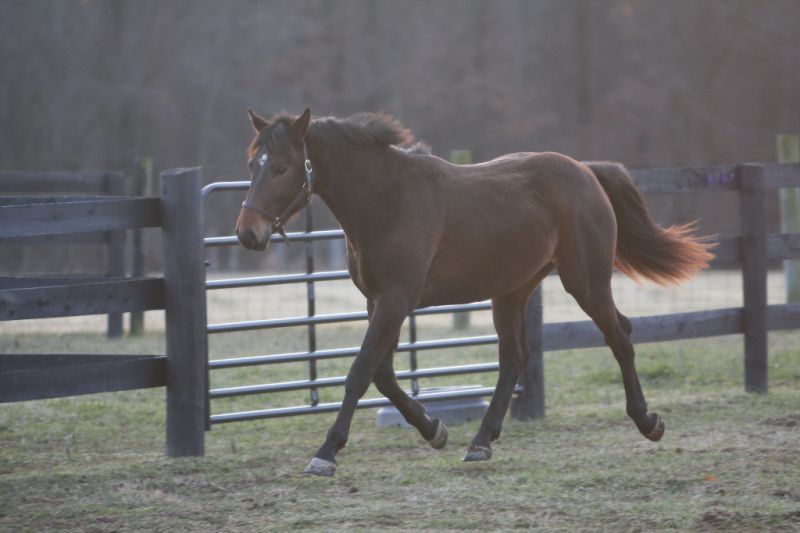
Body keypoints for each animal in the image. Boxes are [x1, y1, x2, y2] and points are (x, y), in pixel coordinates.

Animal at [235, 108, 714, 477]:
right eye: (251, 164)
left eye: (281, 167)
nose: (247, 234)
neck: (387, 199)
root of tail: (586, 172)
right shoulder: (380, 301)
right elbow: (383, 374)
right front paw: (435, 430)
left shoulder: (395, 300)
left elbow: (360, 372)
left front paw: (326, 453)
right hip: (513, 291)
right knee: (515, 358)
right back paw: (481, 442)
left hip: (586, 281)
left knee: (620, 336)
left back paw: (647, 421)